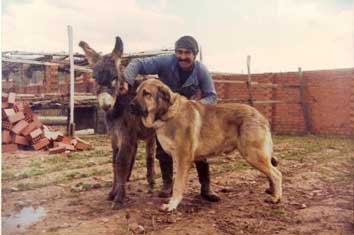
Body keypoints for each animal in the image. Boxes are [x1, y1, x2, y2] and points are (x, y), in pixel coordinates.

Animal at [130, 79, 282, 211]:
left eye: (146, 93)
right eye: (136, 92)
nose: (130, 105)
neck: (168, 113)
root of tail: (261, 116)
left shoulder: (183, 159)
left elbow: (178, 184)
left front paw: (172, 205)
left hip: (253, 155)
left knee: (276, 174)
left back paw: (276, 198)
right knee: (271, 172)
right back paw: (271, 191)